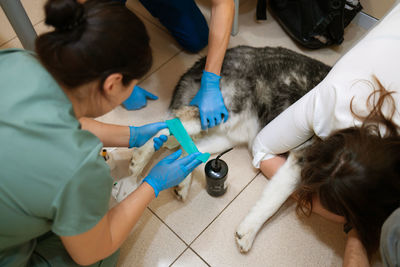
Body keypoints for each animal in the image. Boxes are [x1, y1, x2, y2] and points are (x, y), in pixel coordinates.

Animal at [111, 45, 330, 253]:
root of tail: (203, 62)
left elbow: (274, 195)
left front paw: (249, 230)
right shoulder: (304, 155)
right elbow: (276, 200)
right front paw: (249, 233)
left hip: (230, 135)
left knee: (192, 147)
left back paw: (181, 181)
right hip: (224, 112)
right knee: (173, 123)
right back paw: (140, 161)